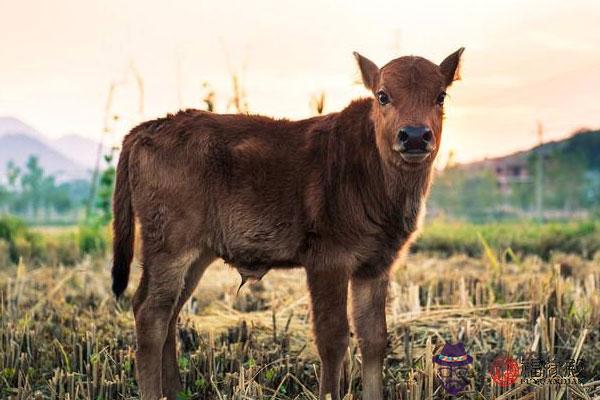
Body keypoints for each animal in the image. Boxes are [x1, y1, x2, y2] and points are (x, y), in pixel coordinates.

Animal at [113, 49, 464, 400]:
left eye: (440, 96)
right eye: (383, 96)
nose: (415, 136)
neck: (370, 167)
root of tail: (148, 128)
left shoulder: (375, 266)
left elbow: (374, 338)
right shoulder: (328, 263)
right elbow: (333, 339)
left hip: (197, 256)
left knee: (169, 314)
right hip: (170, 249)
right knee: (151, 314)